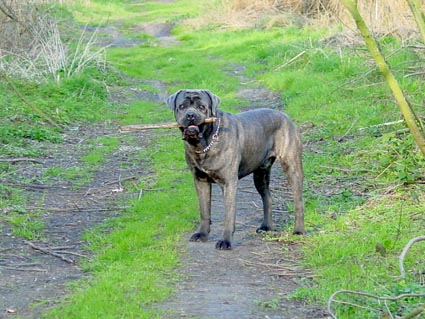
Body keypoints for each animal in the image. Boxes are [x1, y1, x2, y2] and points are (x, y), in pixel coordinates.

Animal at [166, 89, 304, 250]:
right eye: (182, 106)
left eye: (201, 107)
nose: (190, 115)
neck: (204, 143)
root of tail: (285, 116)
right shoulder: (200, 181)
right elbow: (204, 211)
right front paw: (202, 234)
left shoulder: (229, 183)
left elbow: (229, 214)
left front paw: (226, 241)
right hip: (260, 174)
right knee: (267, 197)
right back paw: (266, 226)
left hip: (292, 167)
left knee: (298, 201)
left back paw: (299, 231)